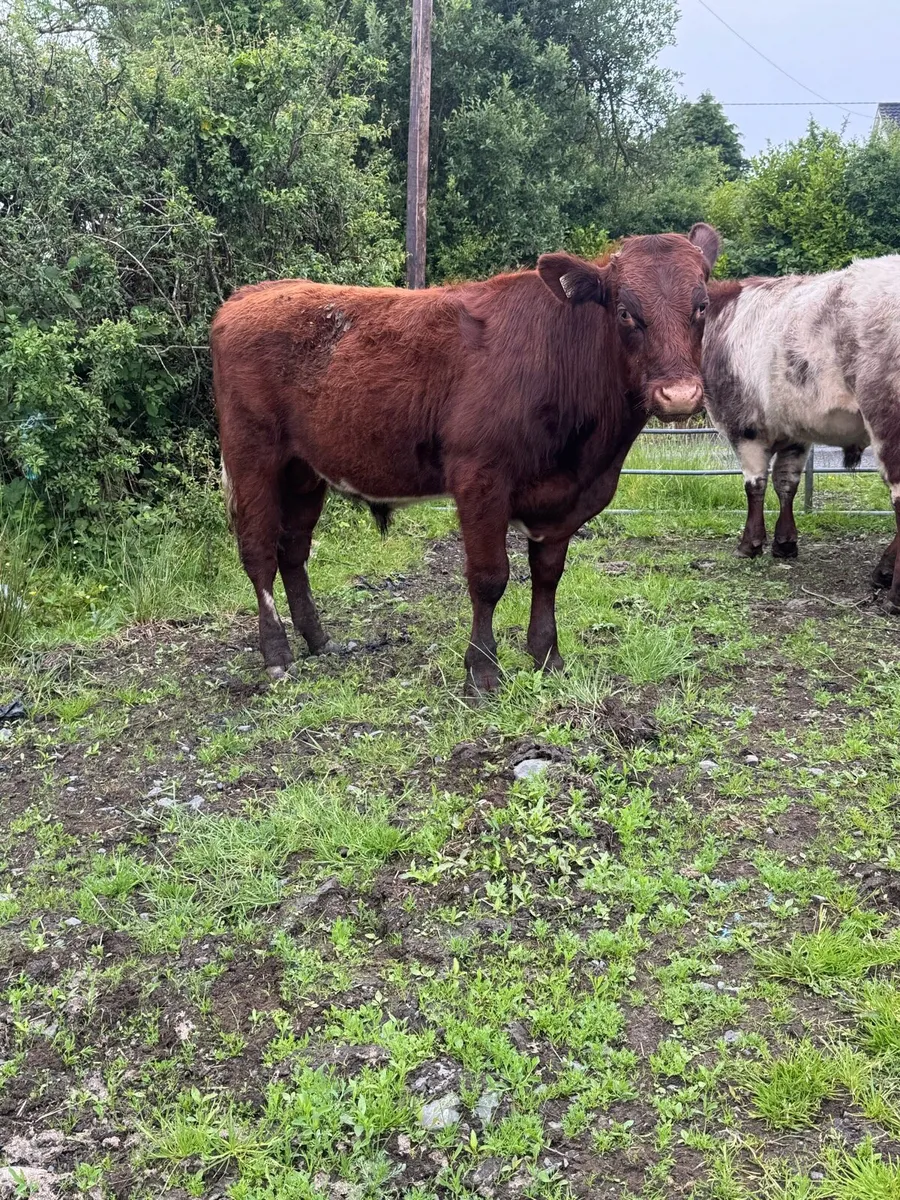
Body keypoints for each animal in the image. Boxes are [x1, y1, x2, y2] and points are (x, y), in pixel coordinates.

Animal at [212, 225, 717, 693]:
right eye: (625, 311)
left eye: (702, 306)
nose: (679, 395)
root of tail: (252, 293)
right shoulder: (480, 477)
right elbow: (490, 577)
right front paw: (482, 671)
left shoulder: (566, 498)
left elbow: (548, 574)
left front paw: (546, 657)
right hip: (252, 455)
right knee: (259, 552)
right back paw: (278, 654)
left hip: (304, 470)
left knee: (294, 550)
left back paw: (320, 641)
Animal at [699, 226, 900, 610]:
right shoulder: (794, 430)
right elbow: (786, 483)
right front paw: (785, 542)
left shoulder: (744, 425)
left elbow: (755, 484)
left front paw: (750, 544)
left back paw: (893, 591)